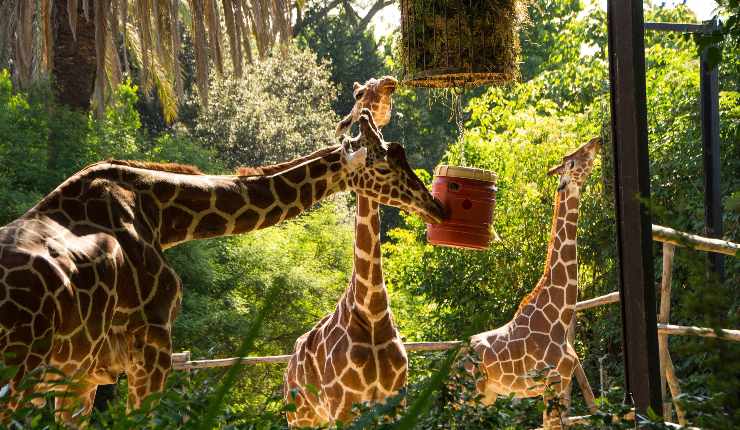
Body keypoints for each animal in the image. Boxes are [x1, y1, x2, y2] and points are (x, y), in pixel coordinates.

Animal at [0, 109, 446, 422]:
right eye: (384, 166)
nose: (434, 205)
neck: (160, 212)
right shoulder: (153, 349)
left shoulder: (82, 374)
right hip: (18, 373)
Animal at [284, 78, 410, 426]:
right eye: (359, 93)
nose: (389, 82)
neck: (372, 311)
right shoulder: (344, 405)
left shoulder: (395, 401)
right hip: (302, 417)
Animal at [468, 139, 600, 430]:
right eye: (574, 159)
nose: (597, 140)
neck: (558, 316)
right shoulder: (552, 382)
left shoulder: (558, 384)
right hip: (471, 392)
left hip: (488, 395)